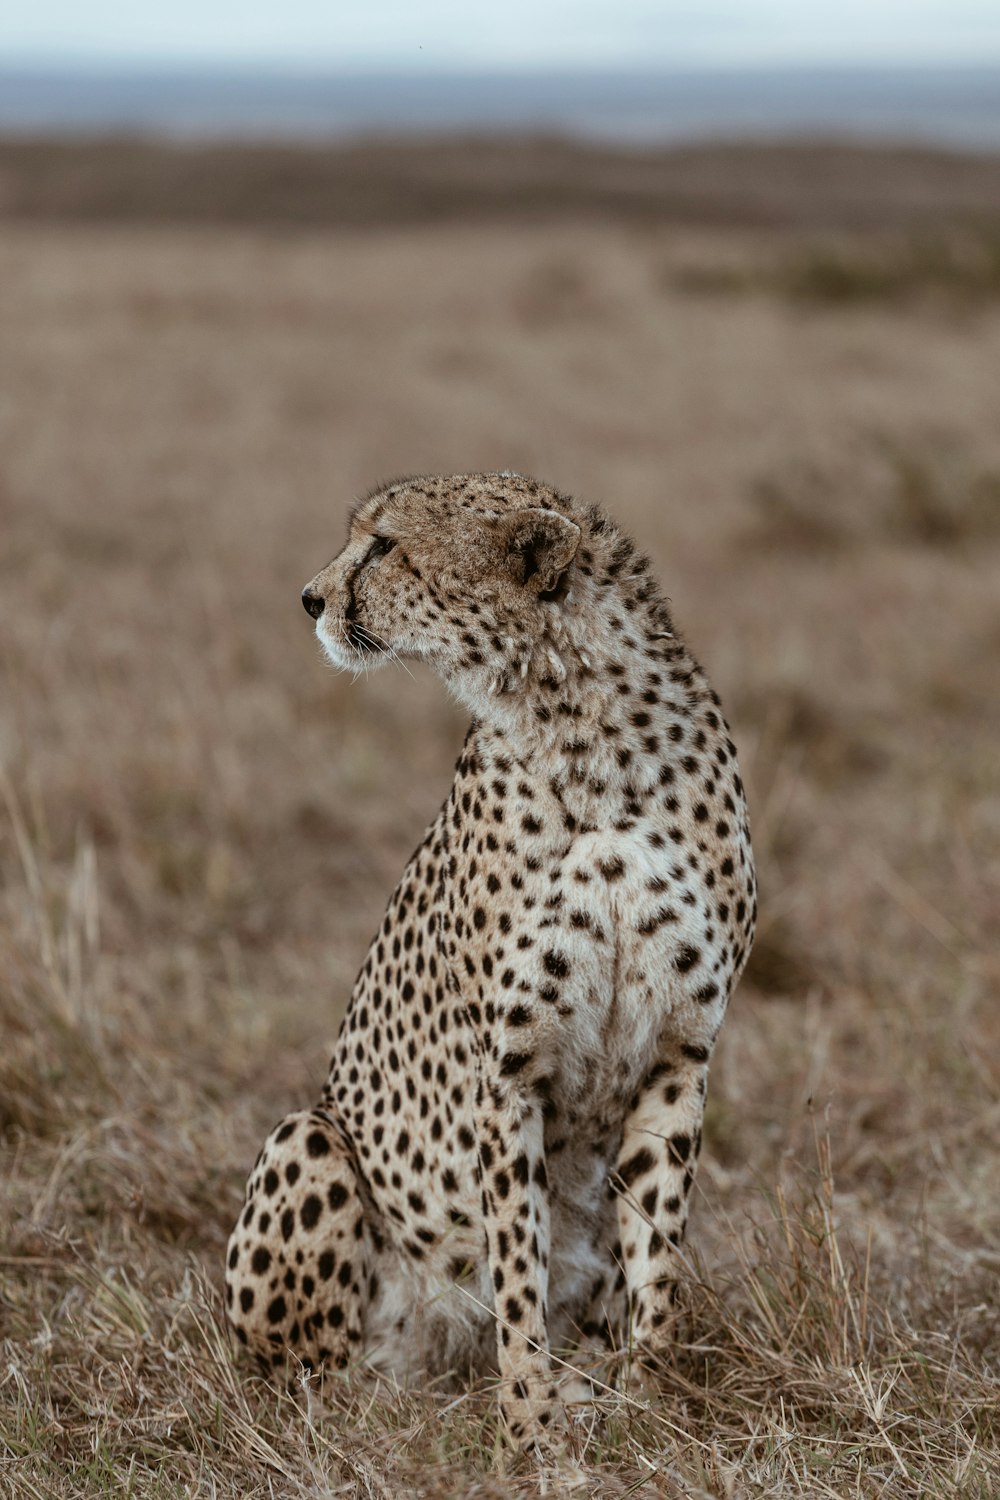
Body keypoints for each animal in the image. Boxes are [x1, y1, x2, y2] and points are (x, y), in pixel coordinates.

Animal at [226, 474, 755, 1446]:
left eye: (385, 545)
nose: (310, 600)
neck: (584, 726)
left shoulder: (680, 1055)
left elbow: (655, 1257)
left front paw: (647, 1406)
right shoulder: (508, 1070)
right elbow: (517, 1268)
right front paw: (528, 1431)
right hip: (310, 1140)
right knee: (302, 1375)